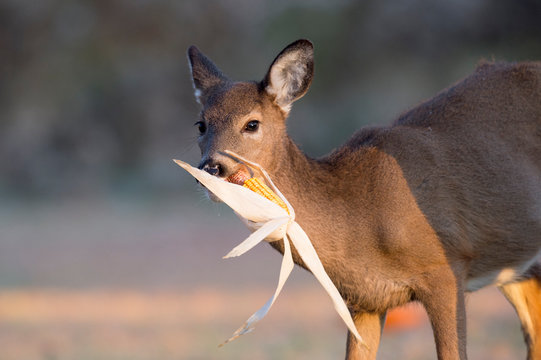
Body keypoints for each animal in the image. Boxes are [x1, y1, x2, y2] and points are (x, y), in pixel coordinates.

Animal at [185, 38, 540, 358]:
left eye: (252, 124)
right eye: (201, 124)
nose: (211, 168)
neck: (362, 220)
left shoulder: (446, 267)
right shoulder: (363, 301)